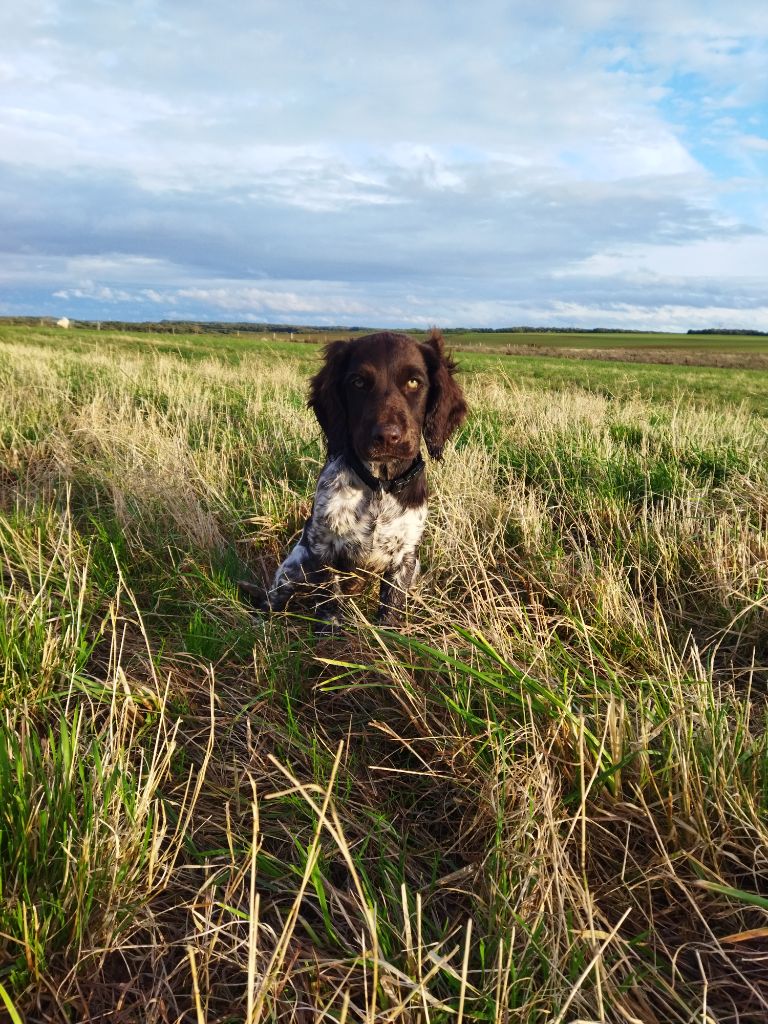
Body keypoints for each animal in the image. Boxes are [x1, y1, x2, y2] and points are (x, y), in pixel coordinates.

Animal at [243, 327, 466, 630]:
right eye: (358, 382)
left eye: (413, 382)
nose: (387, 437)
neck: (380, 485)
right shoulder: (322, 545)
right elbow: (328, 597)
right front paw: (329, 629)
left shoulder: (406, 556)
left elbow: (392, 602)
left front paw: (389, 632)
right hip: (294, 565)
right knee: (276, 595)